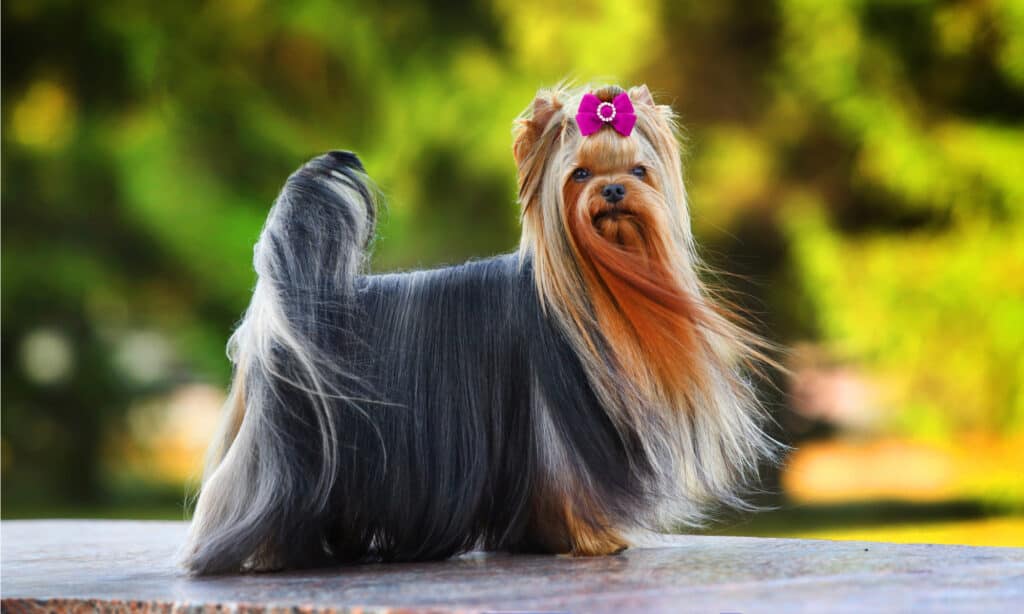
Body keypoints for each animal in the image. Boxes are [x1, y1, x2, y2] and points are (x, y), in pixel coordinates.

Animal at [184, 83, 774, 573]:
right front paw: (594, 539)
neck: (595, 280)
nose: (612, 192)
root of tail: (283, 310)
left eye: (639, 172)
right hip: (290, 446)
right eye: (580, 175)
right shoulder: (551, 427)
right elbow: (569, 483)